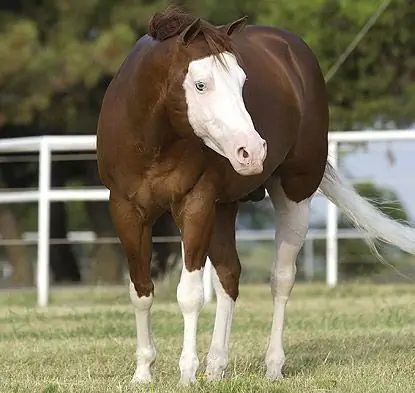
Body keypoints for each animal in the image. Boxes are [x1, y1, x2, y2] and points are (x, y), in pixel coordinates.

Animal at [96, 7, 415, 384]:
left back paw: (272, 366)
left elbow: (189, 295)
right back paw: (216, 366)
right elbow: (141, 290)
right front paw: (144, 371)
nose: (252, 151)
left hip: (293, 194)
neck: (153, 139)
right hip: (223, 208)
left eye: (241, 82)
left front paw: (187, 373)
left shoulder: (195, 205)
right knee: (229, 276)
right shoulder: (126, 211)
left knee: (281, 279)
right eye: (200, 84)